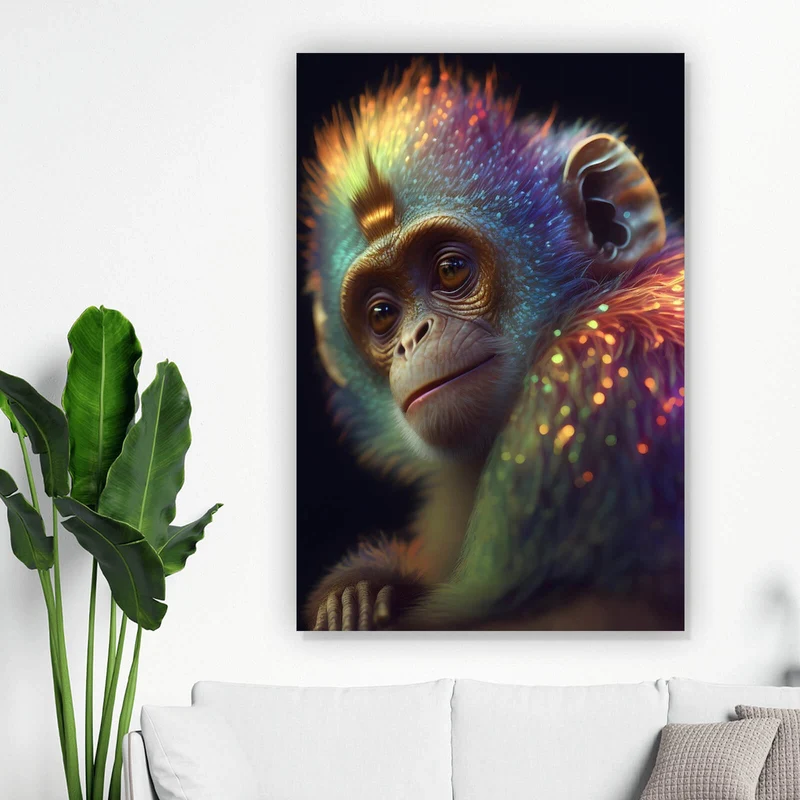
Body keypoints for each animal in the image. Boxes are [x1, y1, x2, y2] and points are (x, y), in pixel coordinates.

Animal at [300, 61, 684, 631]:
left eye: (451, 269)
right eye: (382, 315)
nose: (414, 339)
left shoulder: (592, 386)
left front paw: (364, 586)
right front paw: (357, 591)